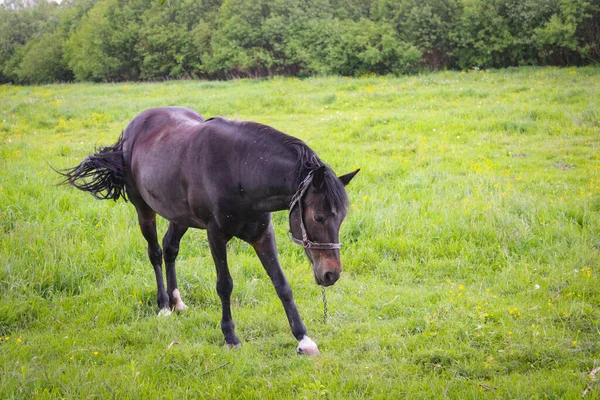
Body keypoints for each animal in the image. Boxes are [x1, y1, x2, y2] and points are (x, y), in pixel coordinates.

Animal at [59, 107, 360, 356]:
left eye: (341, 217)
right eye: (318, 217)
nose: (331, 274)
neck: (241, 170)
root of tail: (132, 129)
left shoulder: (263, 235)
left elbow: (281, 284)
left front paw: (303, 340)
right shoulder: (215, 235)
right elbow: (224, 285)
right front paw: (230, 337)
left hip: (179, 216)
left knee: (170, 249)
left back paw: (177, 301)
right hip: (144, 209)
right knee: (155, 252)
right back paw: (164, 306)